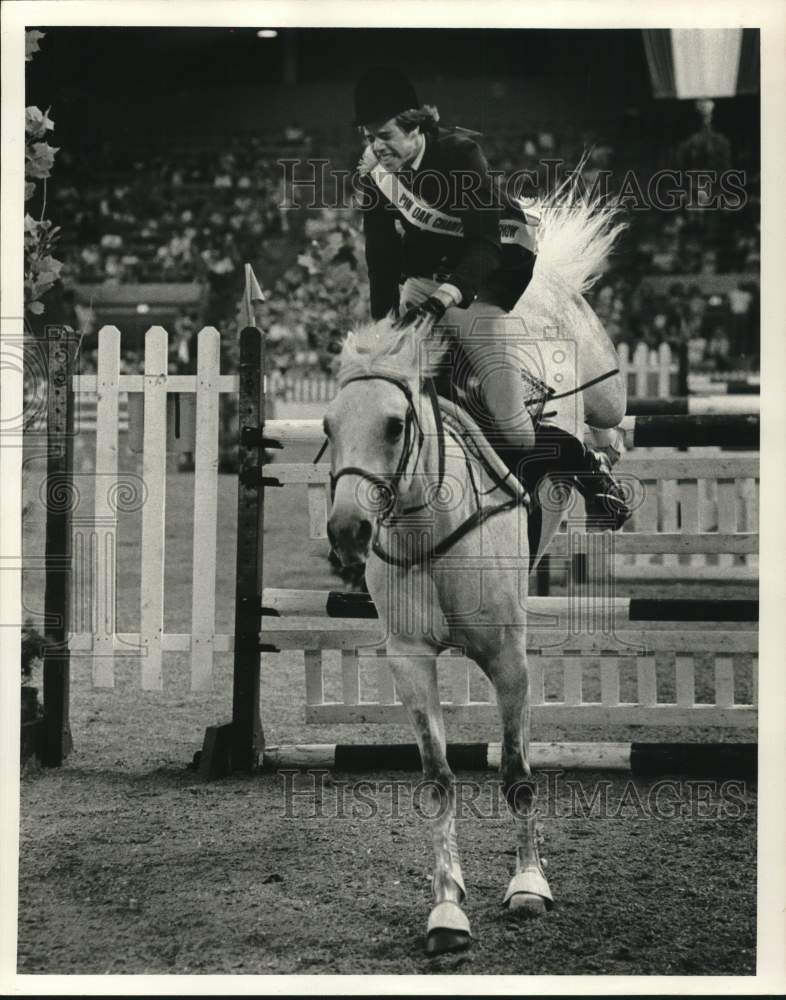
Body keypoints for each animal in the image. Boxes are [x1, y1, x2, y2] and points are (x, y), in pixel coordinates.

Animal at [322, 193, 620, 952]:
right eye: (330, 428)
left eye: (395, 425)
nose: (347, 531)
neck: (428, 526)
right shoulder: (411, 659)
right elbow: (438, 779)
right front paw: (447, 909)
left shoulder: (509, 657)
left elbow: (516, 772)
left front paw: (528, 886)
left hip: (602, 386)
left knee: (601, 427)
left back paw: (607, 483)